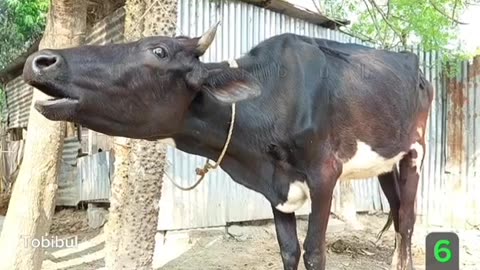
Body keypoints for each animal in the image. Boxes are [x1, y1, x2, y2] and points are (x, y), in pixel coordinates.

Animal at [23, 23, 436, 270]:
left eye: (159, 51)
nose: (40, 60)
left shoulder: (324, 174)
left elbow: (314, 252)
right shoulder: (276, 187)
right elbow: (289, 250)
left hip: (416, 152)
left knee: (409, 219)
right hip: (386, 162)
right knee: (397, 212)